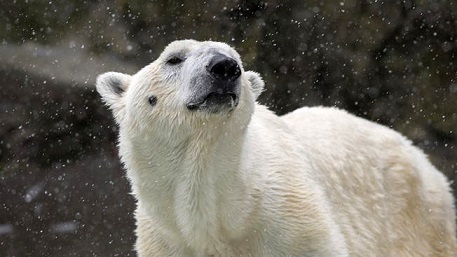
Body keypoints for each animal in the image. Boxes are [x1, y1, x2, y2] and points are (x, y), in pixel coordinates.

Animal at [96, 39, 456, 255]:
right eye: (173, 58)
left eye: (237, 59)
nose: (224, 67)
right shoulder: (169, 239)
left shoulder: (294, 222)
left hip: (417, 223)